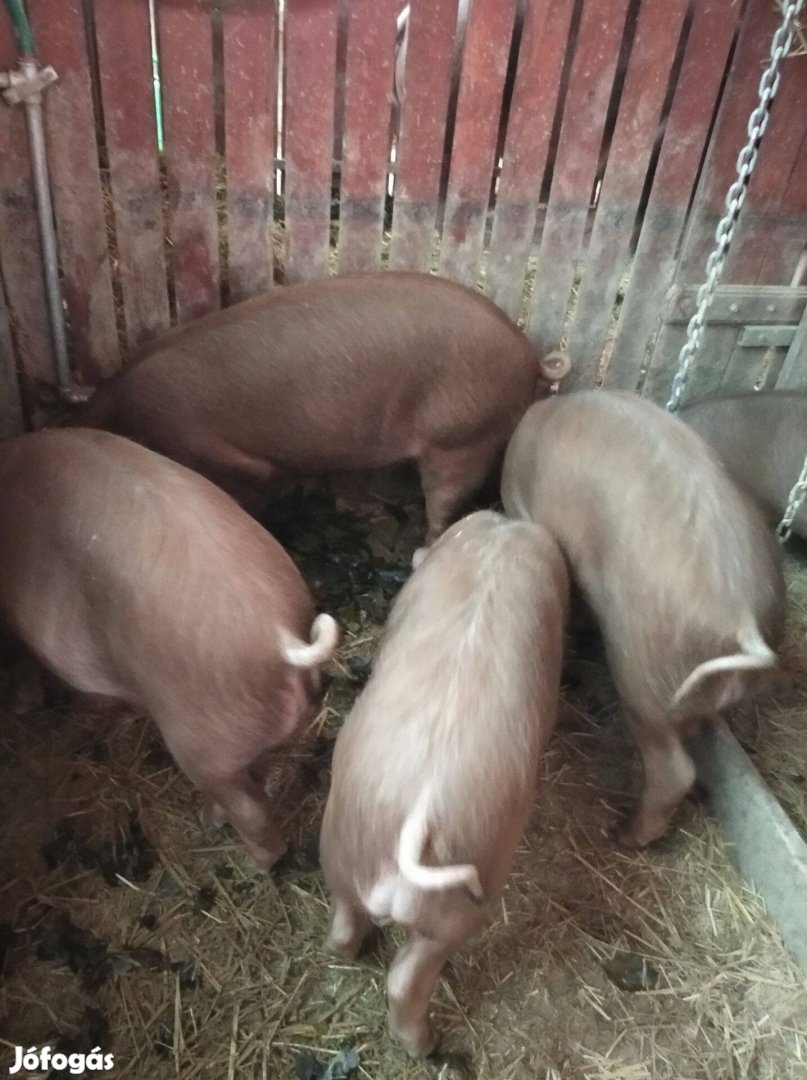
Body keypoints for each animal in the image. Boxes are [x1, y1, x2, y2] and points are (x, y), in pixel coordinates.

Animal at [0, 427, 337, 868]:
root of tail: (281, 638)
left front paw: (21, 703)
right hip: (255, 734)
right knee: (257, 776)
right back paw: (215, 819)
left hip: (200, 743)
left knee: (251, 811)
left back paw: (253, 858)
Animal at [319, 509, 566, 1058]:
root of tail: (416, 820)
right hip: (460, 903)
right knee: (406, 978)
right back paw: (426, 1045)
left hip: (341, 845)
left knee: (344, 923)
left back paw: (350, 951)